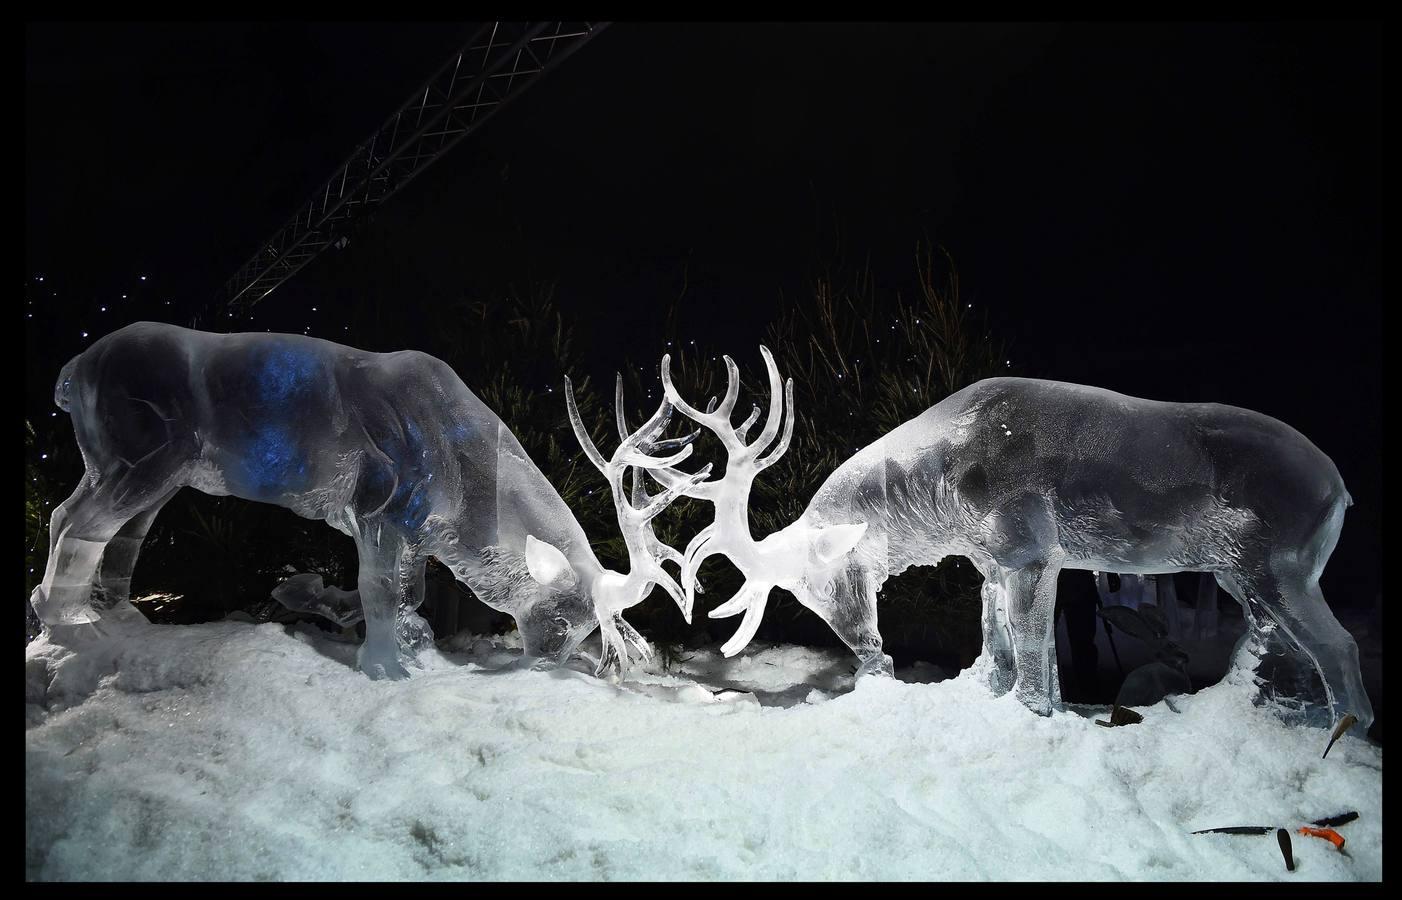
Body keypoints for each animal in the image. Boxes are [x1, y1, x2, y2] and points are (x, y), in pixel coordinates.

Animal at [34, 321, 706, 672]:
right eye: (568, 614)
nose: (541, 666)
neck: (471, 490)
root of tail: (71, 372)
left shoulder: (414, 532)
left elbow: (406, 594)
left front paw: (408, 645)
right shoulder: (376, 504)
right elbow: (379, 589)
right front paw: (388, 664)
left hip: (151, 473)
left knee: (96, 525)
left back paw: (115, 618)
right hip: (140, 458)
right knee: (77, 522)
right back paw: (70, 623)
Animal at [653, 347, 1368, 734]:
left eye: (824, 574)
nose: (870, 656)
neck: (944, 491)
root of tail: (1340, 490)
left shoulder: (1027, 549)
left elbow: (1028, 652)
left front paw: (1034, 713)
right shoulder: (999, 563)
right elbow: (1007, 650)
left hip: (1280, 566)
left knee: (1337, 649)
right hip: (1237, 575)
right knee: (1279, 649)